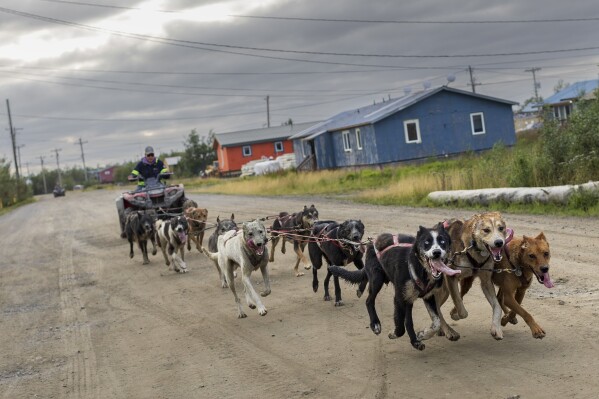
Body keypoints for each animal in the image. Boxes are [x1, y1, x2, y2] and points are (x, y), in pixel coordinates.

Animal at [328, 225, 460, 354]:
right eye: (426, 243)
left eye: (442, 242)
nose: (437, 252)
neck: (418, 266)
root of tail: (371, 242)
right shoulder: (399, 298)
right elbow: (400, 327)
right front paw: (393, 334)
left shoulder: (428, 296)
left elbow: (436, 322)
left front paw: (423, 334)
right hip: (377, 279)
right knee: (369, 301)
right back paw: (375, 323)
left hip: (408, 297)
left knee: (408, 321)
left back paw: (415, 342)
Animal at [436, 212, 510, 340]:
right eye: (486, 230)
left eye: (501, 228)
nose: (499, 242)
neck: (473, 247)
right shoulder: (451, 277)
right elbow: (460, 306)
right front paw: (455, 314)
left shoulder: (486, 282)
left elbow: (497, 307)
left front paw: (496, 328)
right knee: (436, 308)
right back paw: (449, 331)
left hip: (445, 292)